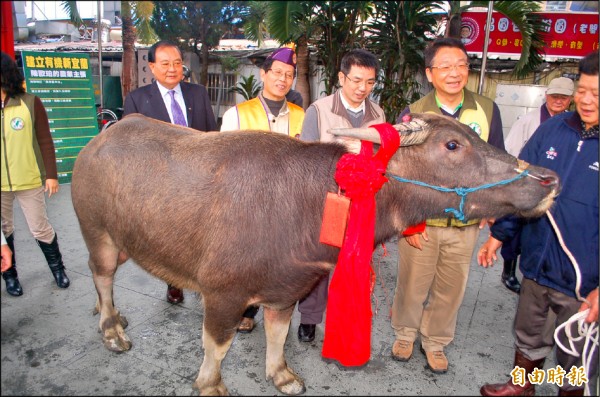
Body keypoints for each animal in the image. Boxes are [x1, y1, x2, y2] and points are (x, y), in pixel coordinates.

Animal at [70, 113, 556, 394]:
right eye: (452, 145)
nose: (547, 179)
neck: (310, 202)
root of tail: (100, 139)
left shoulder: (288, 289)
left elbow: (278, 334)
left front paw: (282, 375)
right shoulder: (223, 295)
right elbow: (218, 346)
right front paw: (210, 385)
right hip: (98, 232)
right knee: (102, 274)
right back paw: (111, 329)